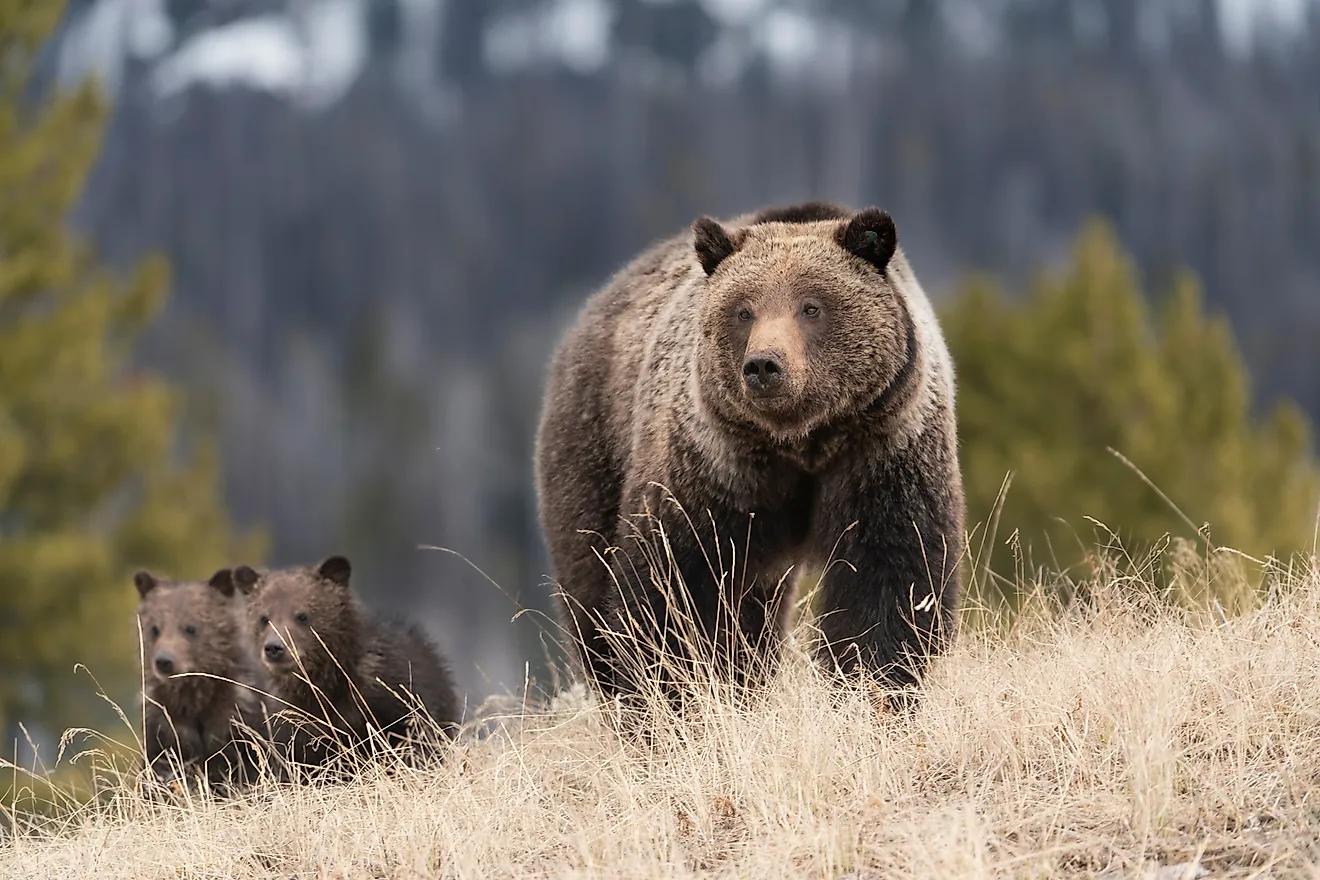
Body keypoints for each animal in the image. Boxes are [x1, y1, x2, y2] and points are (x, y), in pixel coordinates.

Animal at [134, 567, 267, 793]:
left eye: (190, 627)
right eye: (154, 629)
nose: (164, 661)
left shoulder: (239, 721)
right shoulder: (164, 726)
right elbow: (160, 771)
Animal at [233, 555, 461, 777]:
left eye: (303, 615)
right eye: (263, 618)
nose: (274, 647)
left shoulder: (395, 696)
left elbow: (415, 737)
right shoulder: (294, 723)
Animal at [534, 201, 965, 705]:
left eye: (811, 306)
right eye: (743, 311)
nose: (764, 365)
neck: (801, 443)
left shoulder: (883, 450)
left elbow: (890, 577)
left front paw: (873, 685)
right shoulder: (715, 467)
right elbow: (673, 584)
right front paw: (672, 695)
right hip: (592, 443)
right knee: (590, 578)